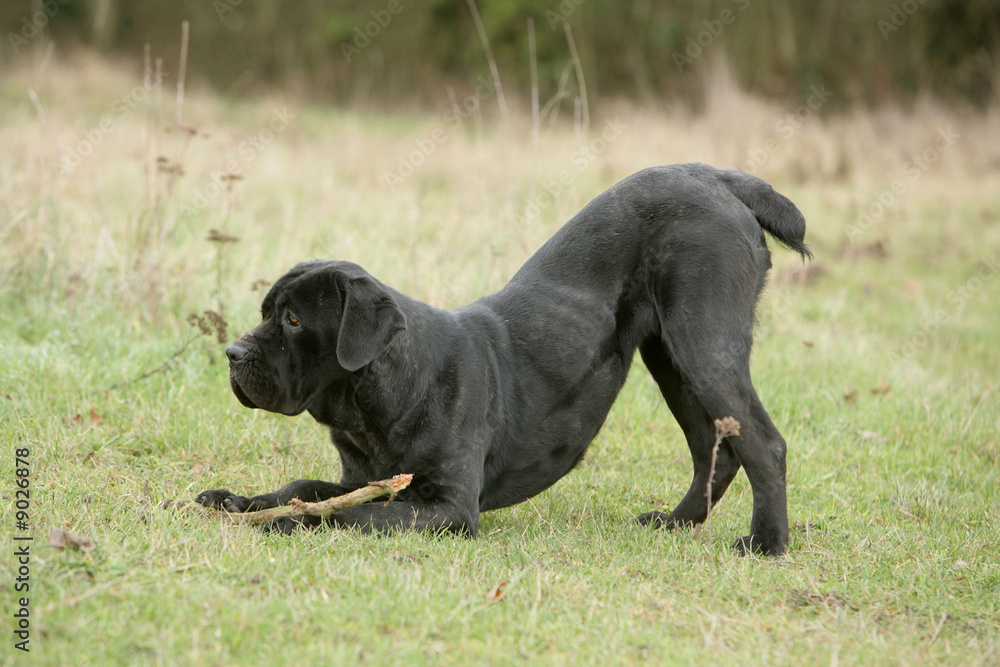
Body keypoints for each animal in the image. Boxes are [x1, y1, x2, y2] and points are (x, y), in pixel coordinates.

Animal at [193, 164, 804, 556]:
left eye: (294, 320)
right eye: (267, 311)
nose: (233, 353)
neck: (382, 400)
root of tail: (719, 178)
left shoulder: (449, 508)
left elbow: (348, 512)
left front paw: (284, 523)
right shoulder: (363, 477)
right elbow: (303, 488)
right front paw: (237, 500)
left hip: (704, 343)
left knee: (763, 443)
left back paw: (765, 544)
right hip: (671, 359)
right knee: (712, 448)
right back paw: (674, 523)